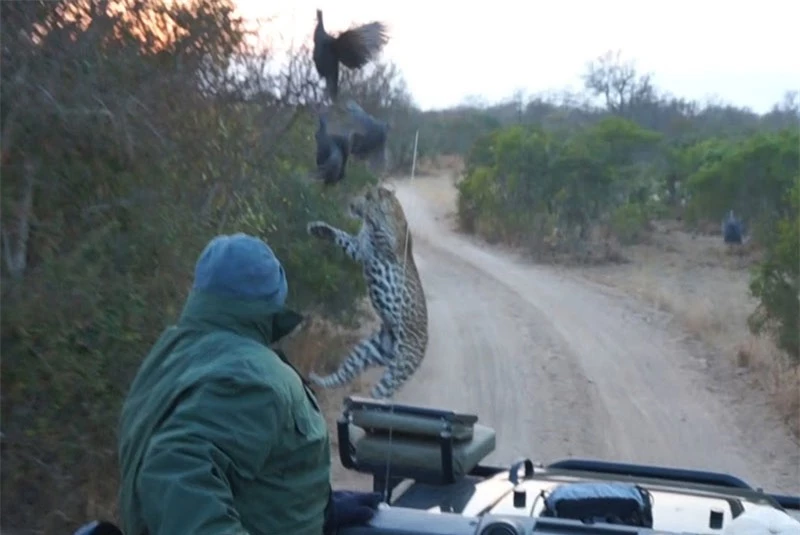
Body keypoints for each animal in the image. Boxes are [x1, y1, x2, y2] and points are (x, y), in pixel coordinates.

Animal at [304, 184, 424, 398]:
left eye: (367, 196)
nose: (352, 204)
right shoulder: (359, 248)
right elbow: (341, 235)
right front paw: (319, 229)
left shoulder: (388, 245)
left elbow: (377, 220)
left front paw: (372, 210)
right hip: (368, 350)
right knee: (342, 374)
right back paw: (318, 379)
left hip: (399, 366)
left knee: (381, 394)